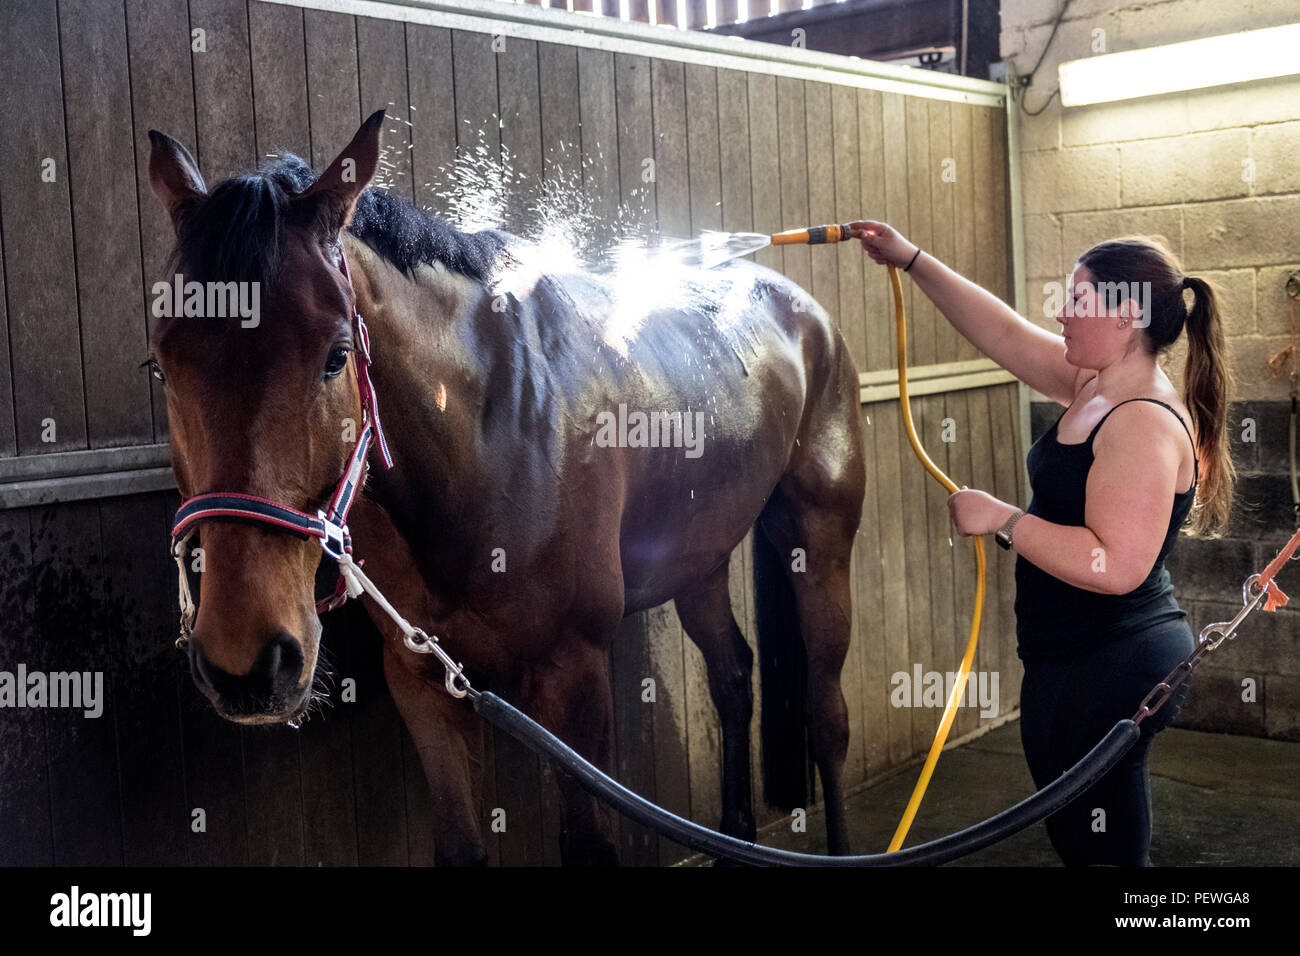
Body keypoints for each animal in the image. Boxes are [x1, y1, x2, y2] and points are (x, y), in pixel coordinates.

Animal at [146, 109, 867, 865]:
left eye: (337, 355)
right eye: (161, 365)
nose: (246, 660)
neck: (488, 437)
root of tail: (803, 310)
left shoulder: (573, 671)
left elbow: (587, 844)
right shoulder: (424, 680)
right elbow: (461, 846)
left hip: (820, 537)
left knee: (827, 712)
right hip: (699, 558)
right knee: (732, 678)